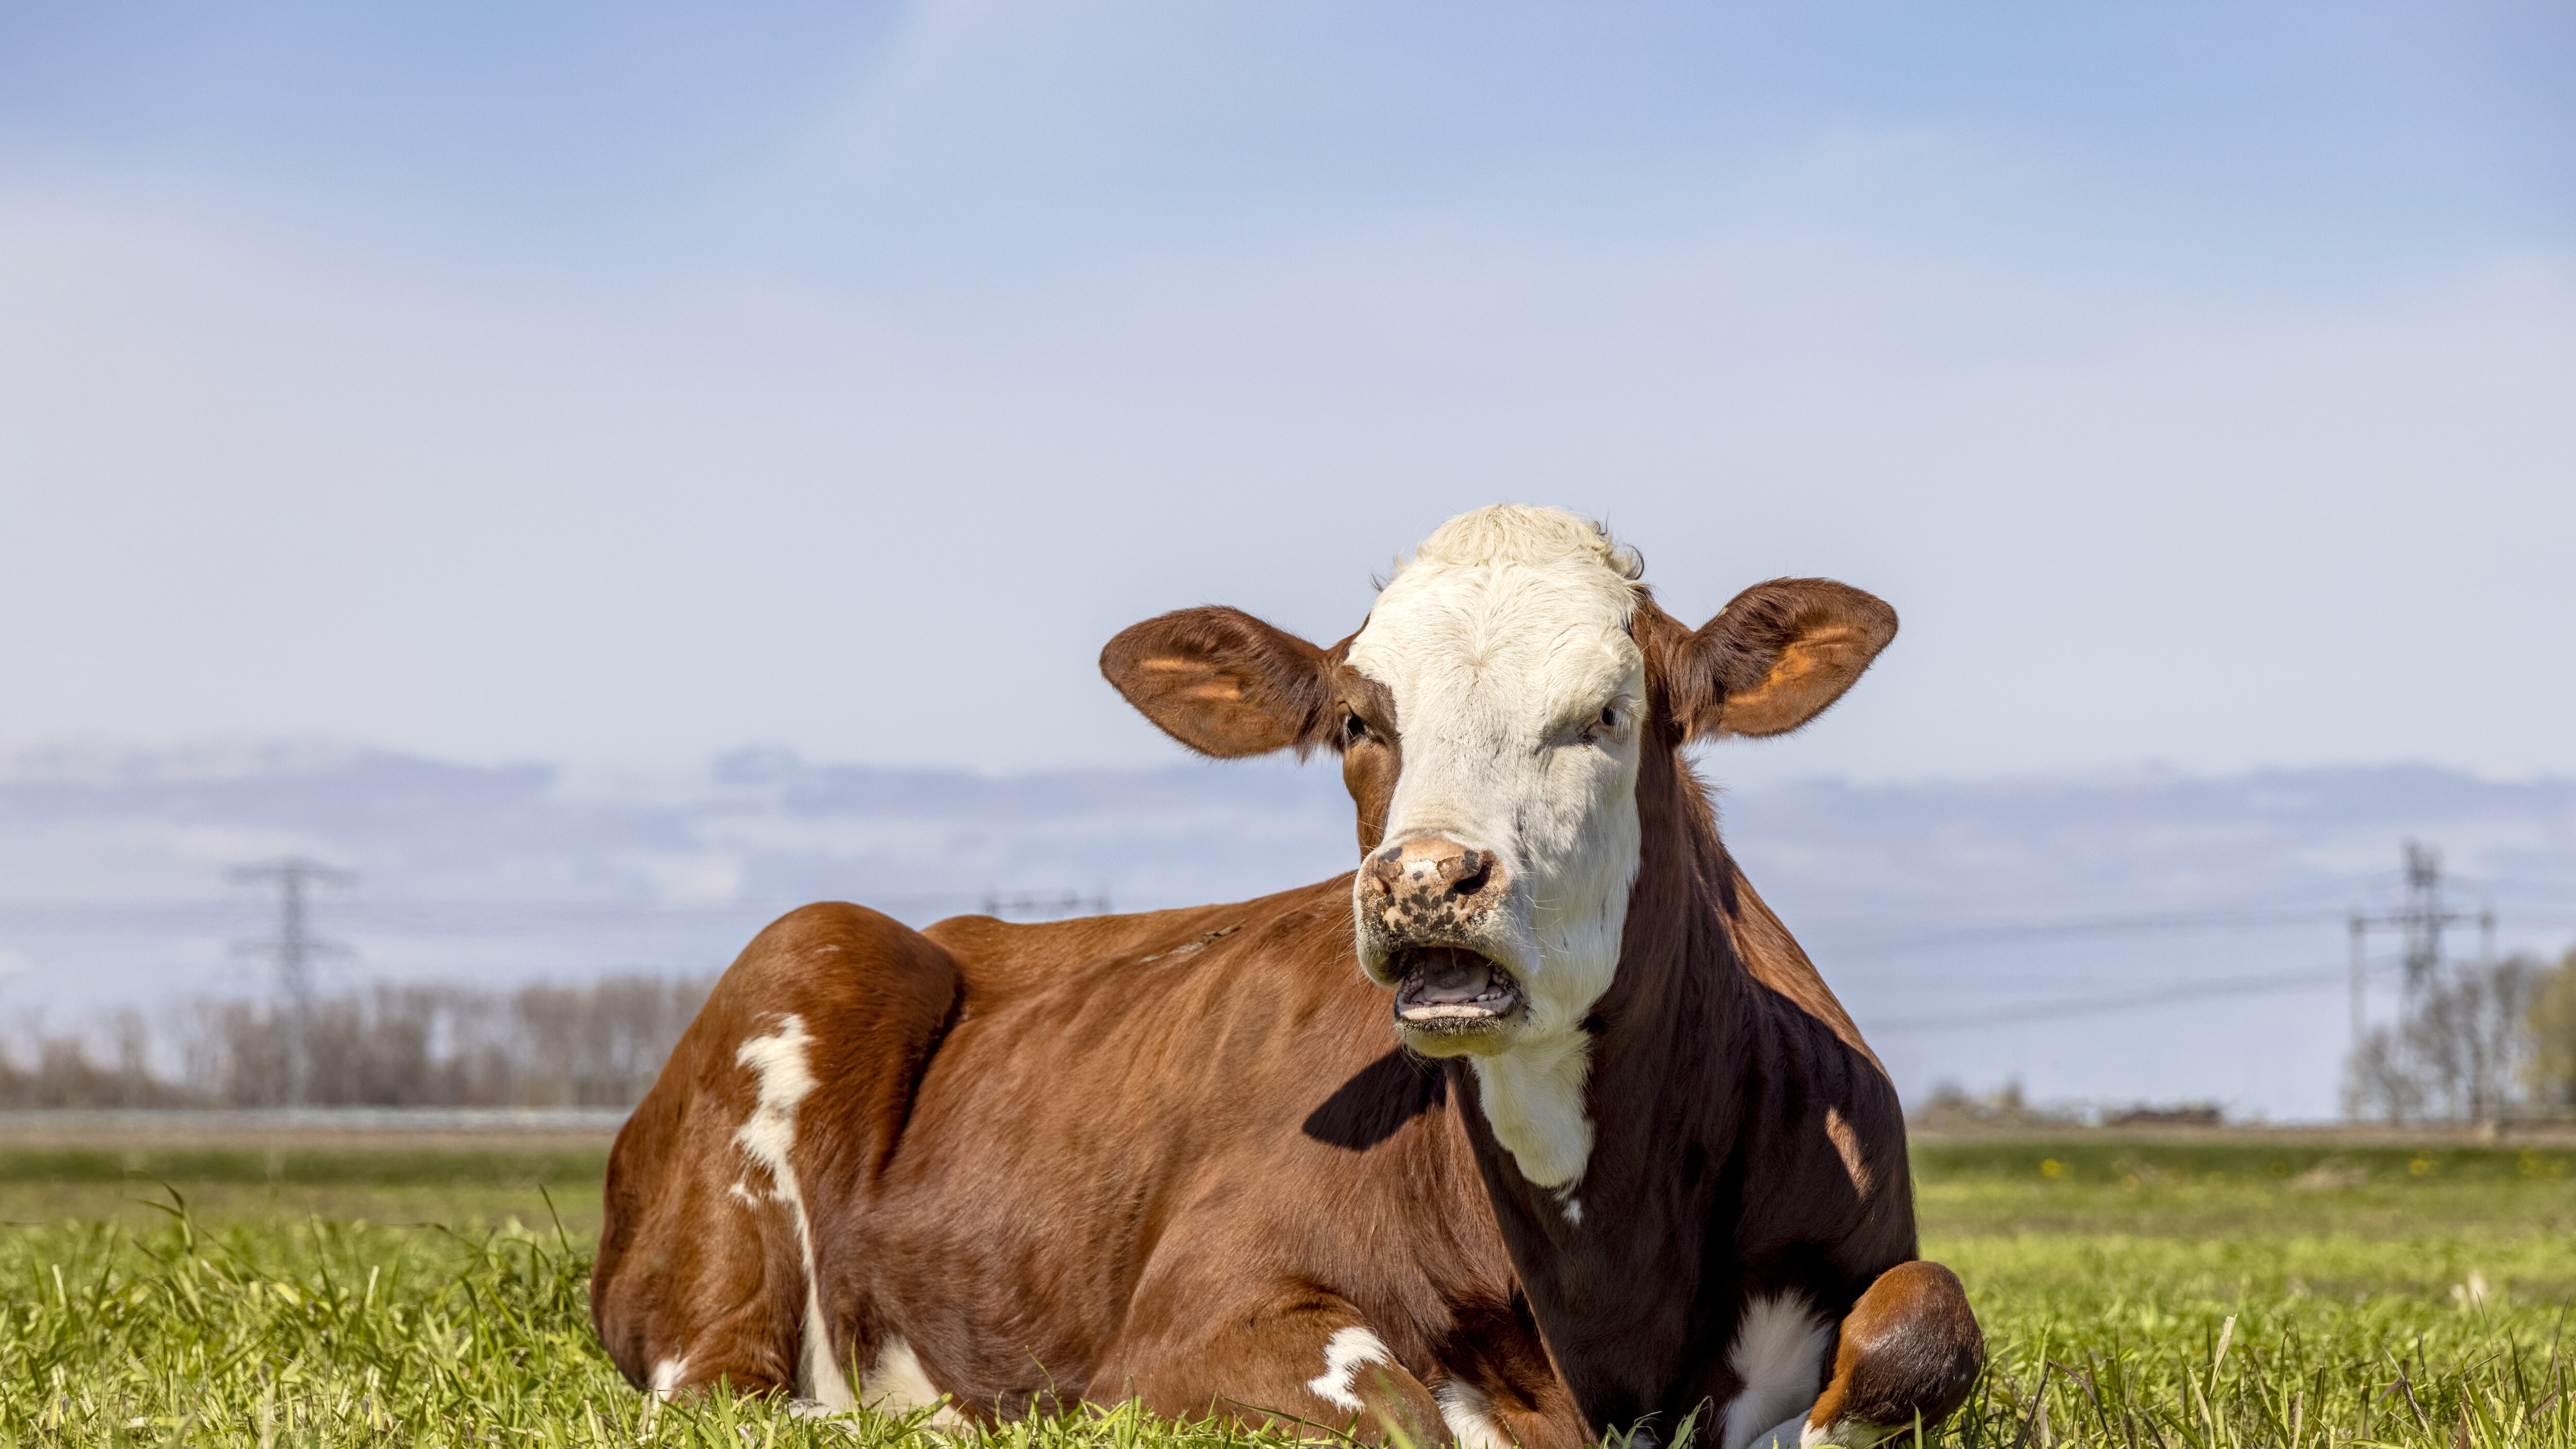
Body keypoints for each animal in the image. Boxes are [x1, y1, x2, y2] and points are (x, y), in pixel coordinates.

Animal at [592, 505, 1983, 1449]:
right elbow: (1402, 1410)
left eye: (1603, 712)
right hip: (804, 960)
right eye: (1362, 720)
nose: (1424, 876)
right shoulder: (1183, 1323)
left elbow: (1926, 1325)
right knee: (724, 1388)